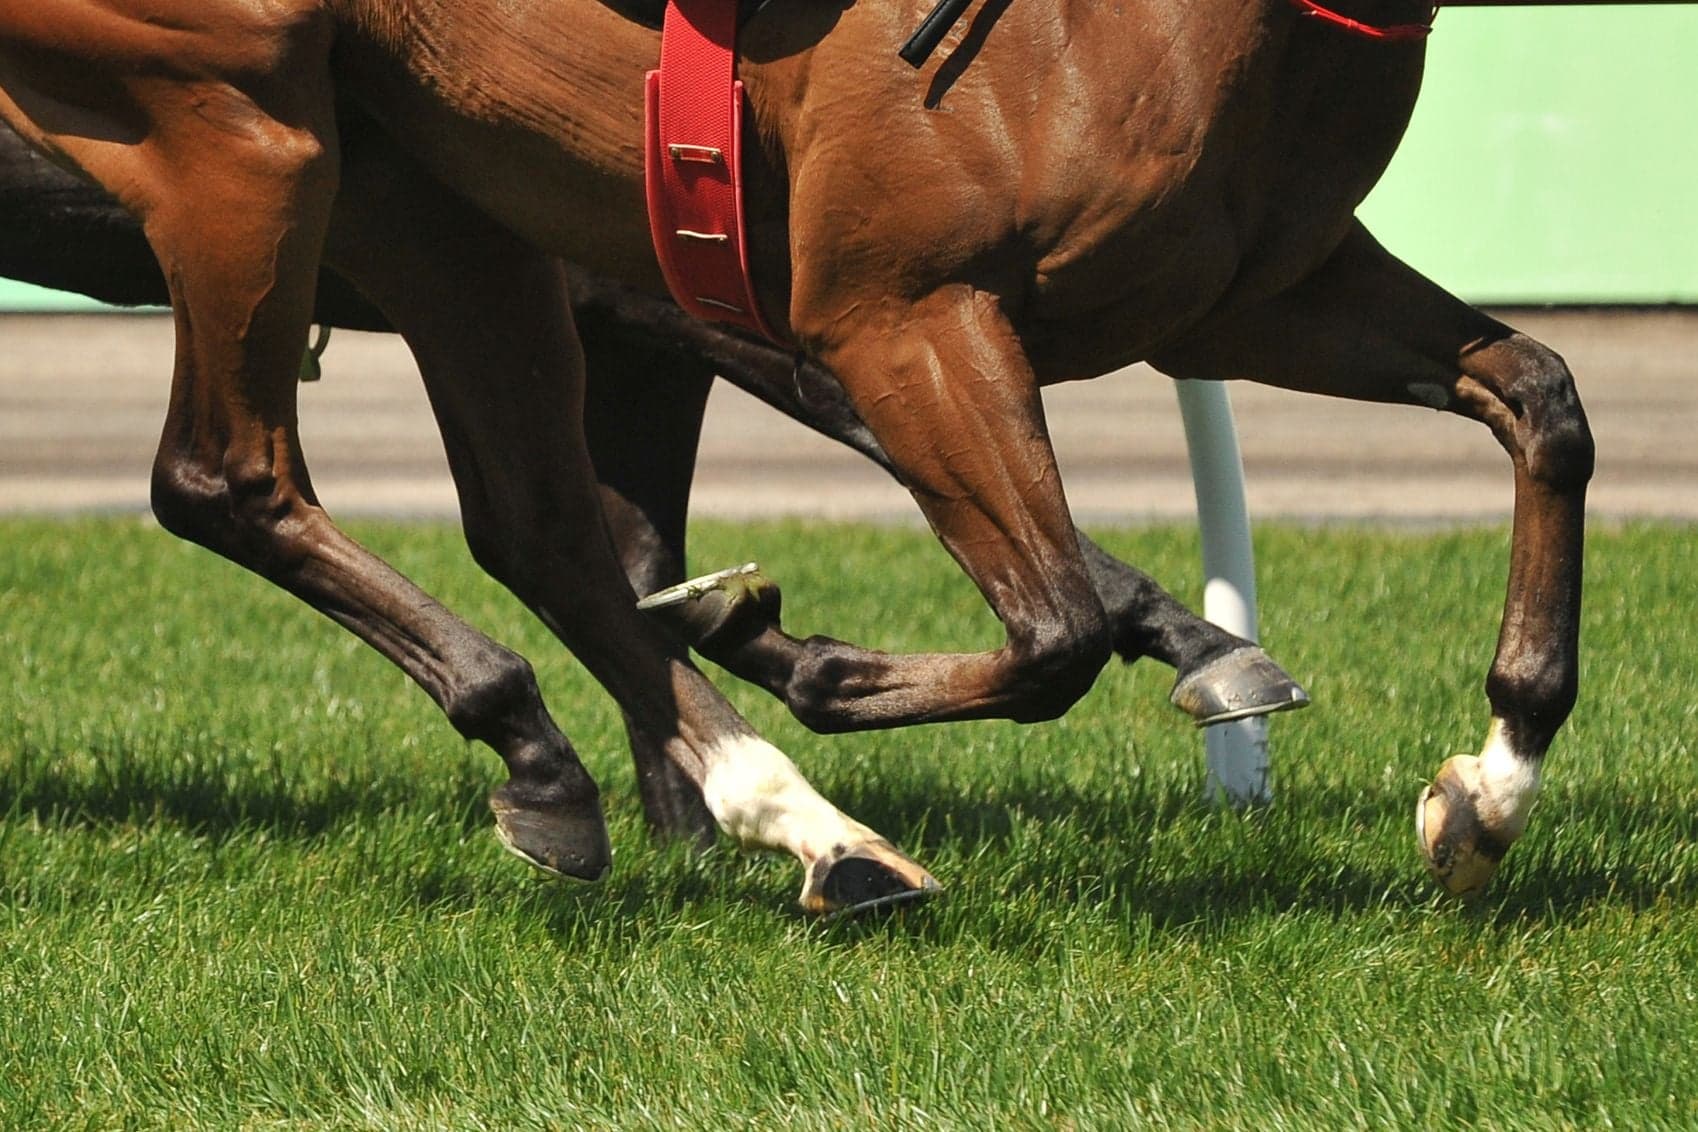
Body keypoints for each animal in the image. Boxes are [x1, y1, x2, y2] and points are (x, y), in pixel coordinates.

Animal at [0, 0, 1593, 900]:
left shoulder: (1255, 287)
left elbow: (1542, 400)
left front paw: (1491, 781)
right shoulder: (868, 309)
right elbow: (1055, 623)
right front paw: (812, 665)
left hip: (419, 197)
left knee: (530, 522)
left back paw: (736, 807)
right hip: (242, 130)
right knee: (228, 478)